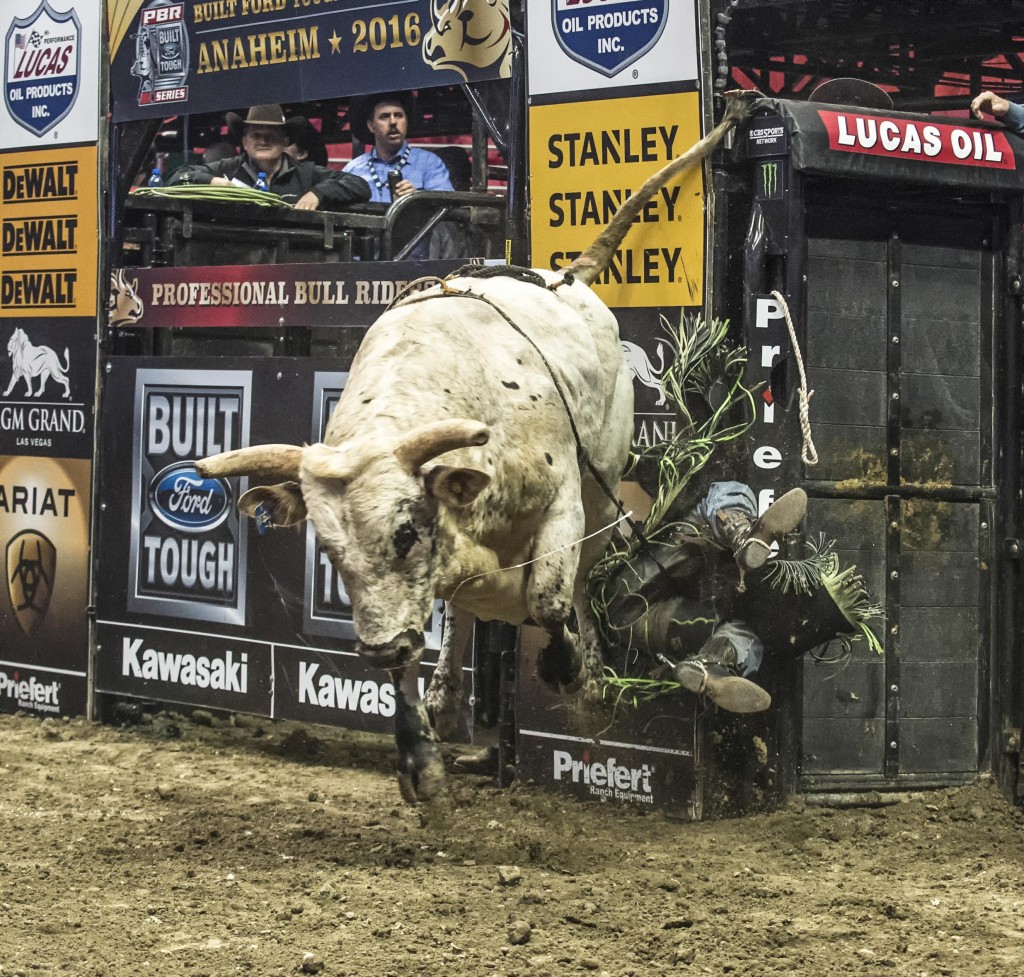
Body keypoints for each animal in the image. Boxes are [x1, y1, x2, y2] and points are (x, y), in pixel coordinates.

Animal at [195, 98, 749, 798]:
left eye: (405, 531)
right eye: (330, 549)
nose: (377, 651)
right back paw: (447, 695)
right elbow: (431, 626)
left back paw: (592, 678)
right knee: (462, 610)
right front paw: (420, 740)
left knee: (581, 575)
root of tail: (564, 278)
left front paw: (569, 666)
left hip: (600, 491)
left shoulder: (562, 503)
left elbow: (547, 595)